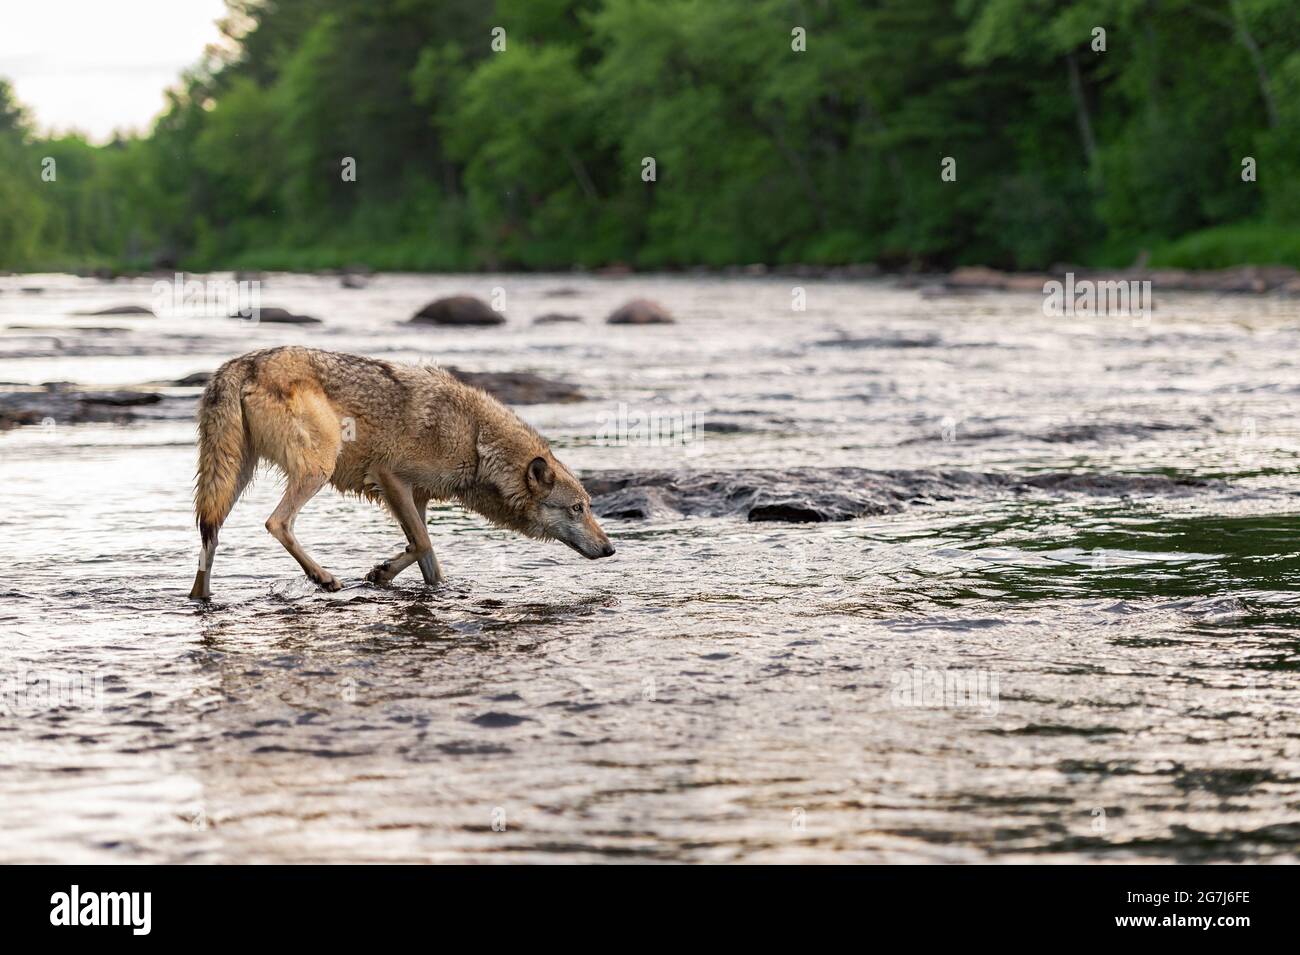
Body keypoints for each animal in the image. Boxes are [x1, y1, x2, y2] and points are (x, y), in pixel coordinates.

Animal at [187, 346, 614, 599]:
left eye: (589, 506)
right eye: (577, 509)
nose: (610, 549)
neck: (477, 440)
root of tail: (241, 363)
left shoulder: (417, 498)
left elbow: (428, 560)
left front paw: (402, 578)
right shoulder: (391, 478)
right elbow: (423, 543)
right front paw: (382, 573)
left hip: (233, 479)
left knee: (209, 536)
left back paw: (201, 597)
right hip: (317, 468)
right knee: (276, 523)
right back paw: (322, 578)